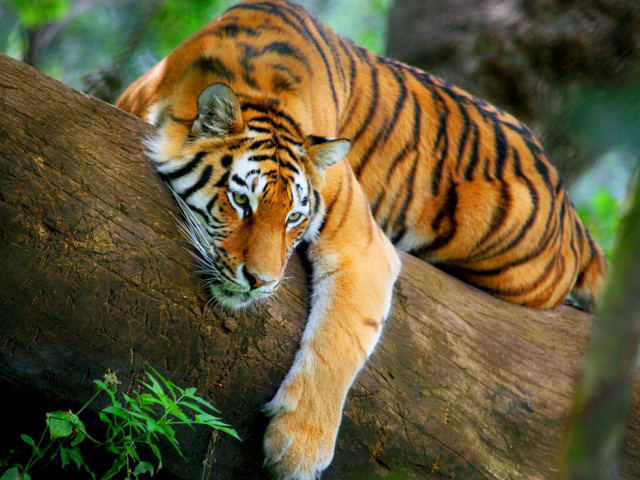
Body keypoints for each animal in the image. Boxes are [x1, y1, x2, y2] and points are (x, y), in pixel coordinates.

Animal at [115, 0, 608, 478]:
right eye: (241, 201)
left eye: (294, 217)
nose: (261, 282)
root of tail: (570, 209)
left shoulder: (363, 245)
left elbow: (340, 340)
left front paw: (299, 448)